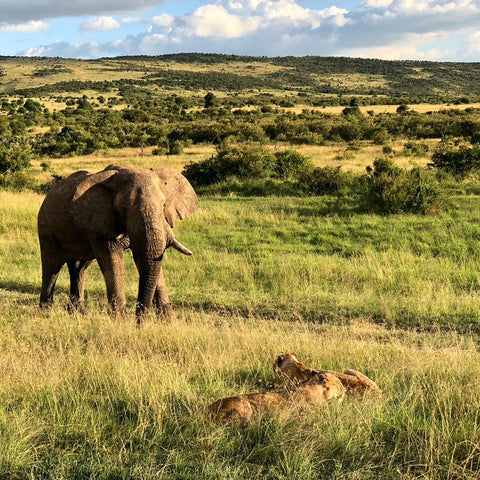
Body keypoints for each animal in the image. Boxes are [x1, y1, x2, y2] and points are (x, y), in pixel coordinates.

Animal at [35, 163, 197, 320]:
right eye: (123, 209)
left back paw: (77, 312)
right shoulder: (99, 222)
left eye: (163, 205)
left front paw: (166, 321)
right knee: (52, 266)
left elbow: (144, 257)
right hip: (45, 226)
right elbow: (112, 257)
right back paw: (46, 312)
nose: (139, 322)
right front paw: (120, 321)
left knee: (80, 268)